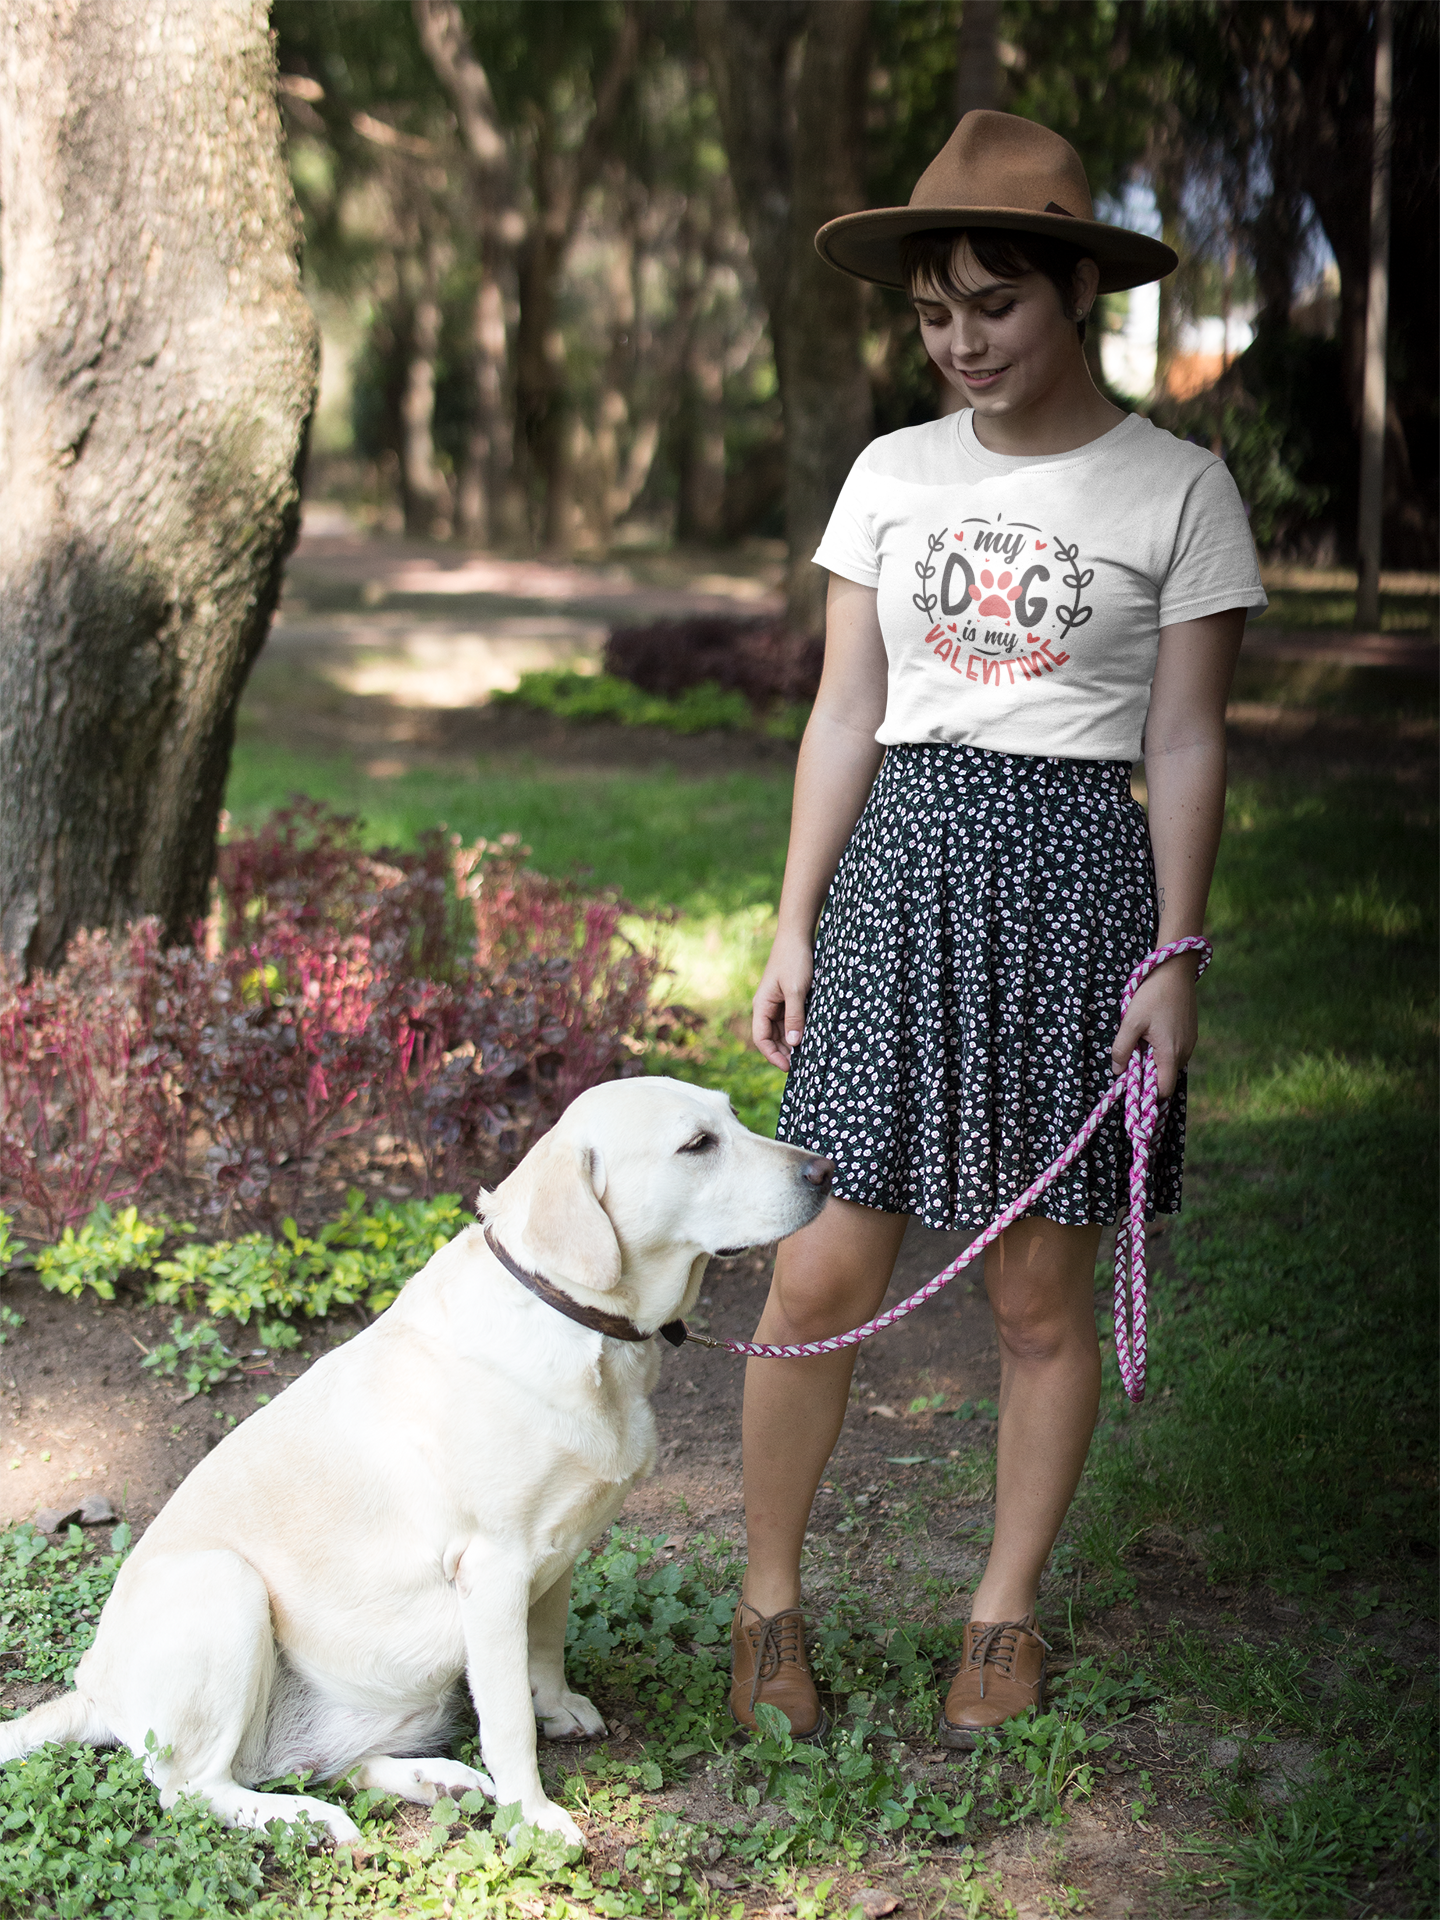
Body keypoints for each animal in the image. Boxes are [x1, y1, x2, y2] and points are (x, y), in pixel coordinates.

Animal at [0, 1082, 833, 1843]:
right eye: (698, 1144)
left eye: (733, 1117)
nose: (825, 1171)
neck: (573, 1316)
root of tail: (93, 1690)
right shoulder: (493, 1571)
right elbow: (508, 1719)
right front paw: (533, 1816)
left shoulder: (557, 1555)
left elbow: (543, 1651)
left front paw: (556, 1709)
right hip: (223, 1587)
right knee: (194, 1789)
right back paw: (303, 1819)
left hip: (401, 1694)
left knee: (316, 1762)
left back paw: (435, 1781)